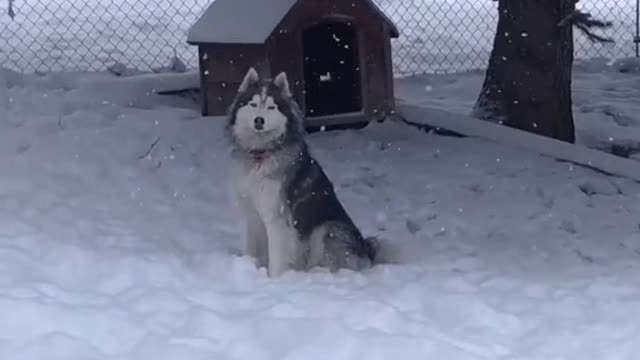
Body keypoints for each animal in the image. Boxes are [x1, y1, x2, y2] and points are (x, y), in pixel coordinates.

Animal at [228, 67, 388, 276]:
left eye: (271, 107)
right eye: (253, 104)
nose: (259, 120)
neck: (261, 154)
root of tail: (367, 253)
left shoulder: (277, 218)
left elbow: (277, 258)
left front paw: (274, 279)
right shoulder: (249, 211)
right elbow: (250, 247)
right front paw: (248, 267)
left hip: (326, 229)